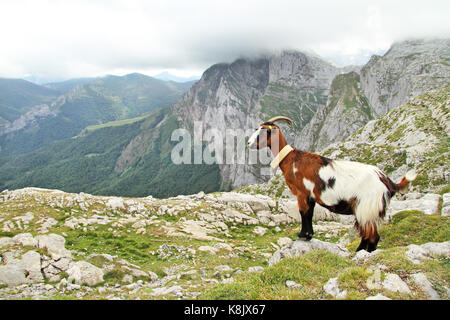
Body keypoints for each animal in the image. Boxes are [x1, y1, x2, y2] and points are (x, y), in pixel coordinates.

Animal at [248, 115, 416, 252]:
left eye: (264, 131)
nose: (249, 143)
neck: (292, 159)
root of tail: (387, 180)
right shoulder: (311, 196)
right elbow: (310, 213)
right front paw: (309, 235)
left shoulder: (302, 193)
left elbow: (303, 213)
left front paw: (302, 235)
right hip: (366, 210)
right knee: (367, 235)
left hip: (367, 207)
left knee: (373, 237)